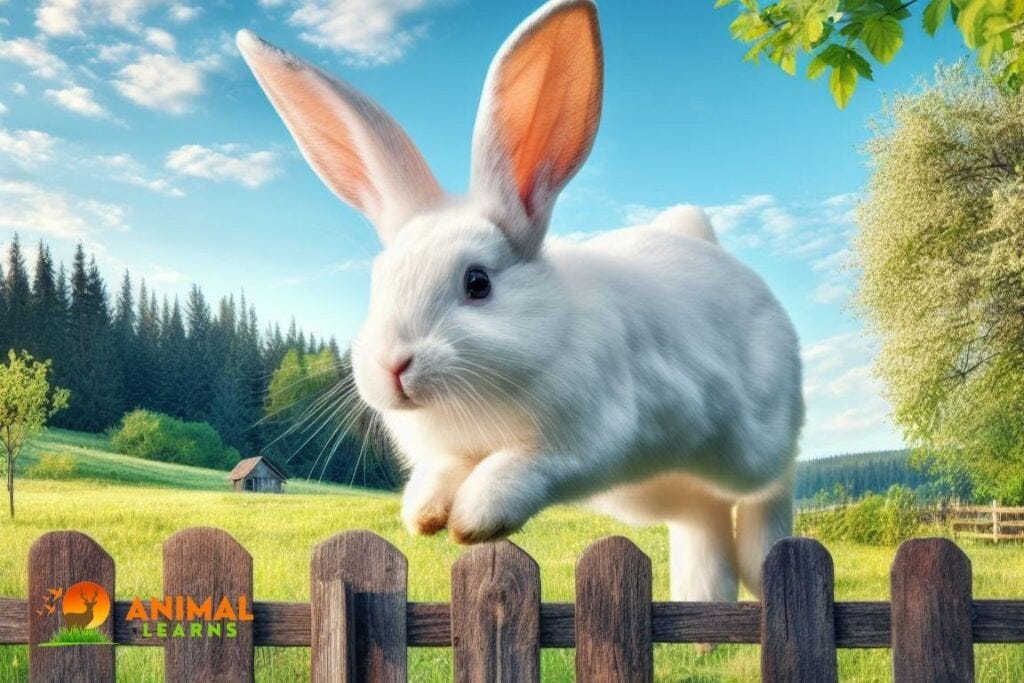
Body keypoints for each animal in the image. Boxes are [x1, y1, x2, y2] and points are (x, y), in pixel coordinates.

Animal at [237, 0, 803, 604]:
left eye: (477, 283)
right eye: (379, 281)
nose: (393, 367)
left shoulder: (575, 446)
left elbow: (515, 472)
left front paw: (472, 520)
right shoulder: (450, 453)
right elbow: (440, 475)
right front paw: (425, 515)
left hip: (753, 443)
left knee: (774, 480)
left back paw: (760, 561)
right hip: (664, 491)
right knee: (703, 517)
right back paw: (703, 598)